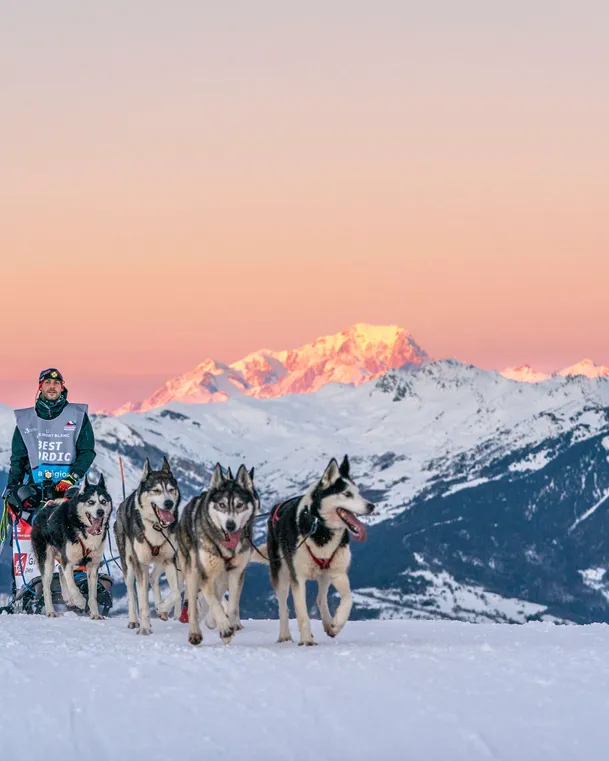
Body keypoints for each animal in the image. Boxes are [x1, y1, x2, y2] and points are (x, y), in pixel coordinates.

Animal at [32, 472, 113, 620]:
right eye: (91, 502)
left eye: (103, 501)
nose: (100, 512)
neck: (82, 529)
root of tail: (43, 510)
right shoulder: (68, 561)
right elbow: (73, 586)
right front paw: (79, 601)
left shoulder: (92, 566)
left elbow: (93, 596)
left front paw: (95, 614)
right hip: (47, 561)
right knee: (47, 586)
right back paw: (51, 610)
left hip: (72, 560)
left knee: (60, 570)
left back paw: (67, 598)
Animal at [178, 464, 258, 648]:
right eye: (222, 505)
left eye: (239, 505)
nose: (230, 525)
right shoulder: (205, 574)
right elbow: (214, 602)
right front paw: (225, 628)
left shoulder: (236, 572)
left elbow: (232, 605)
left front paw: (230, 626)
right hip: (193, 572)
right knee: (193, 607)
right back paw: (195, 633)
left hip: (221, 576)